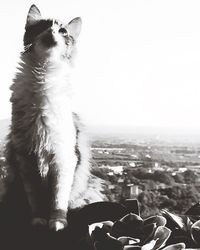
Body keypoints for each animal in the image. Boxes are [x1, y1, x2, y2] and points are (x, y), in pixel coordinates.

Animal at [4, 4, 104, 230]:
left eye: (63, 31)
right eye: (43, 26)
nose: (52, 32)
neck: (44, 74)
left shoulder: (63, 157)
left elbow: (58, 198)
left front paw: (57, 222)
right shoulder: (26, 157)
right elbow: (36, 198)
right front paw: (39, 220)